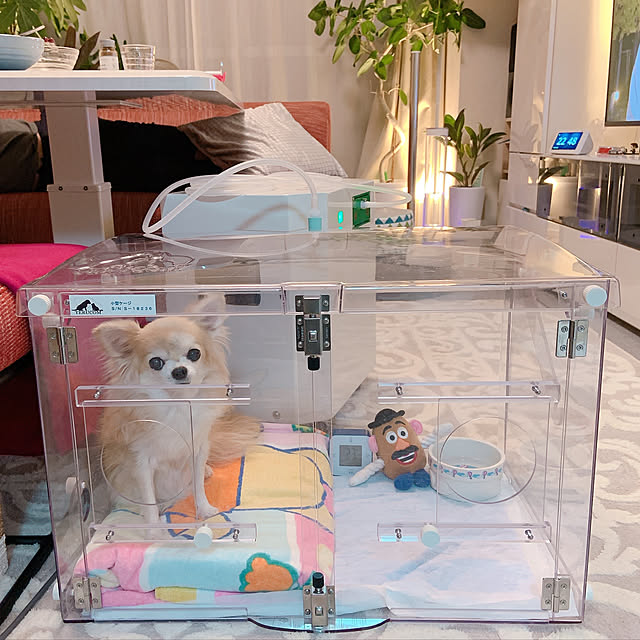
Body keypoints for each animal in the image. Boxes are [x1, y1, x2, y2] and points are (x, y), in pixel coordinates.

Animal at [92, 302, 259, 524]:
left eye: (194, 353)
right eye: (155, 362)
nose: (179, 370)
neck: (177, 404)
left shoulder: (198, 449)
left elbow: (198, 486)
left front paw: (204, 509)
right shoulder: (141, 463)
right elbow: (149, 500)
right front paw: (154, 527)